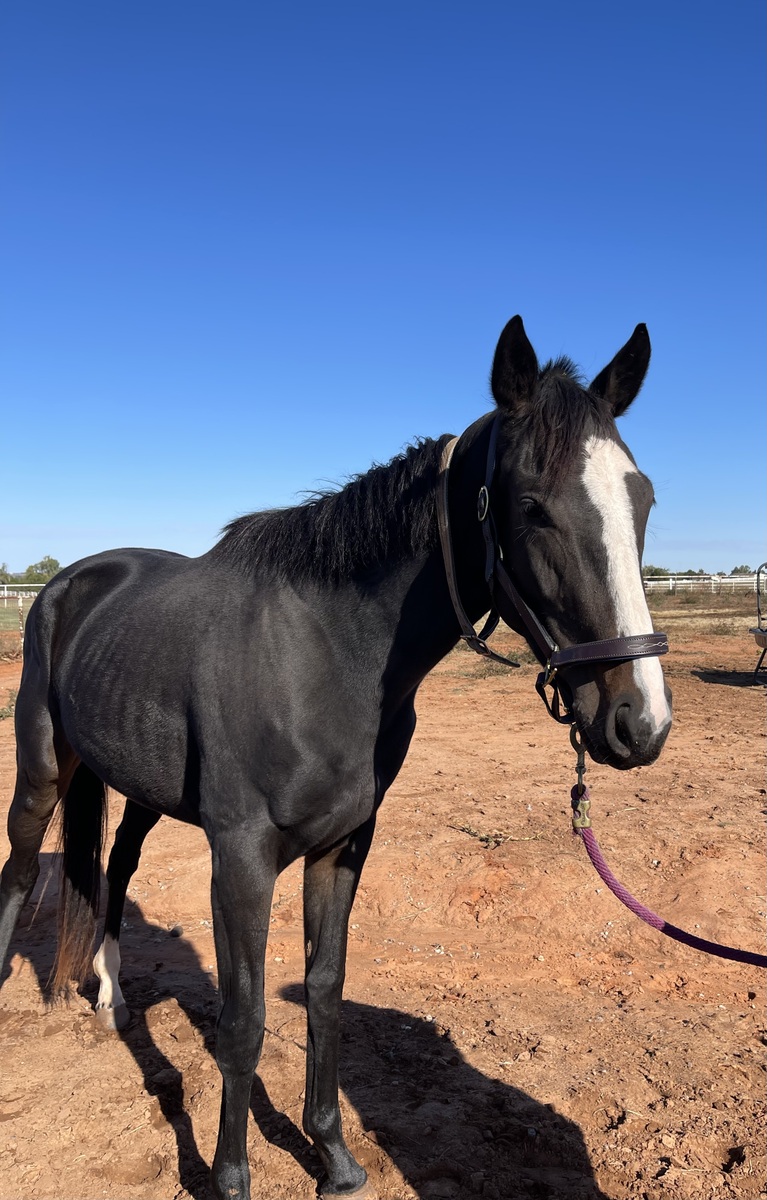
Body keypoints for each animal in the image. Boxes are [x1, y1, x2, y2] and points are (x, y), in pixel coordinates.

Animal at [0, 316, 672, 1200]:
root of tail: (71, 580)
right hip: (43, 771)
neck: (324, 653)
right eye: (531, 508)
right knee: (20, 865)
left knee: (114, 865)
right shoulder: (241, 859)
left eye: (643, 499)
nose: (640, 721)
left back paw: (111, 997)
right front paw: (230, 1177)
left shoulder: (343, 846)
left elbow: (323, 992)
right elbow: (244, 1019)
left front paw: (334, 1155)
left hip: (138, 789)